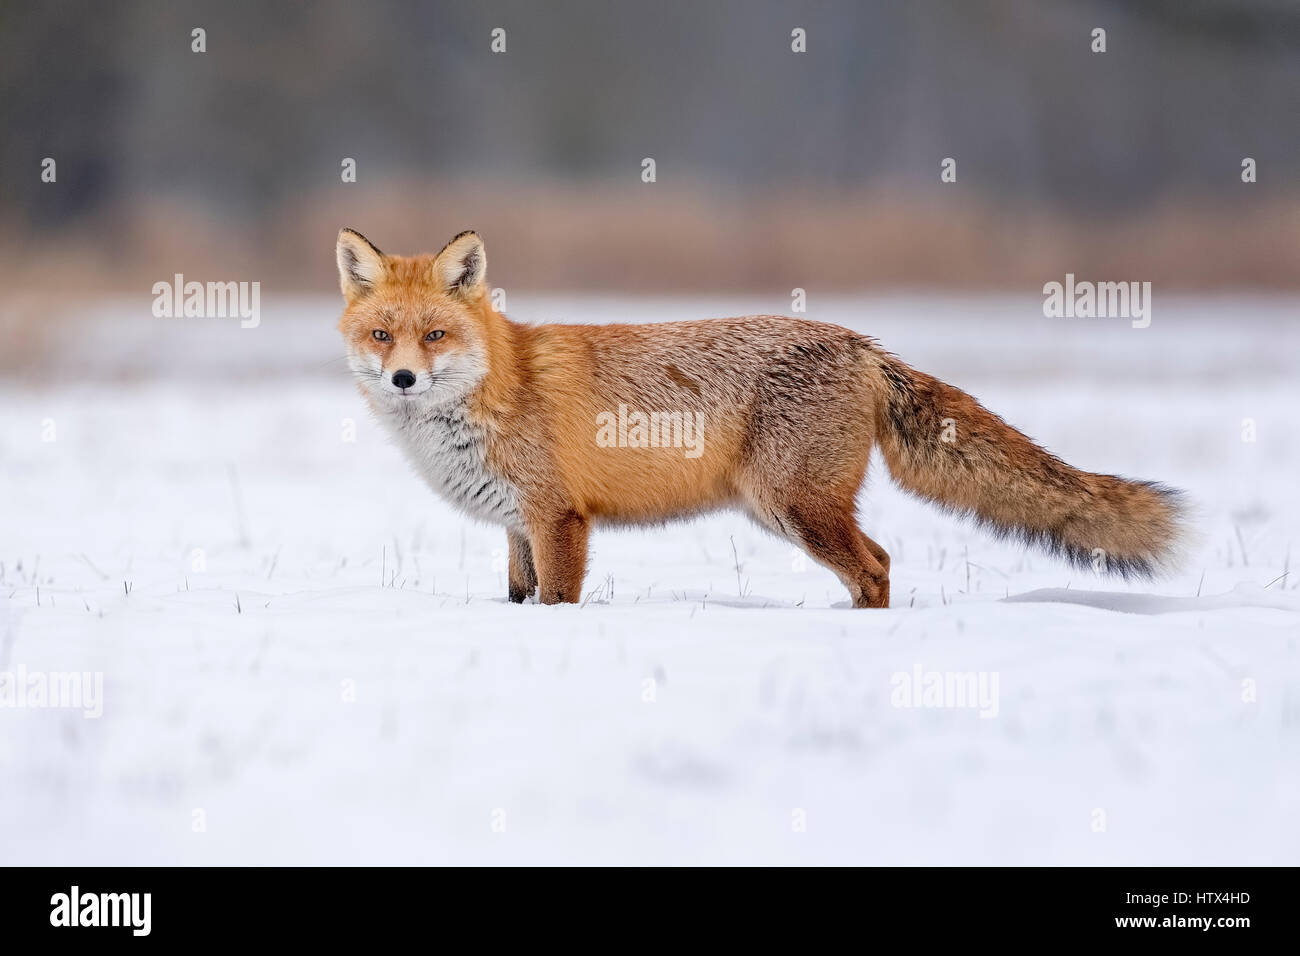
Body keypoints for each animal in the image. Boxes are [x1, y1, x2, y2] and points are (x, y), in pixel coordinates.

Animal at [335, 227, 1190, 608]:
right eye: (382, 336)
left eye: (434, 336)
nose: (404, 377)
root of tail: (862, 343)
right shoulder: (519, 526)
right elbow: (518, 599)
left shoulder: (560, 519)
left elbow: (558, 601)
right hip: (785, 510)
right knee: (880, 560)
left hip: (794, 506)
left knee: (877, 566)